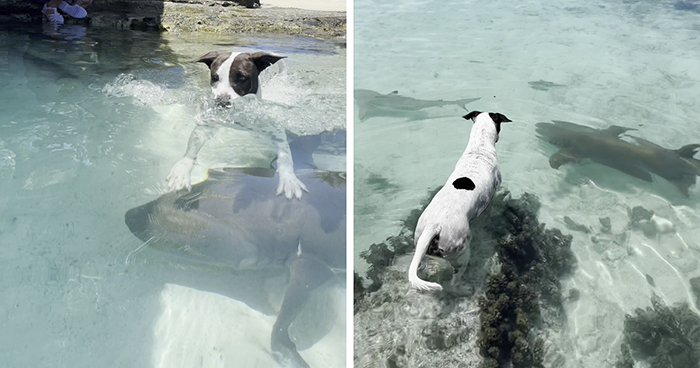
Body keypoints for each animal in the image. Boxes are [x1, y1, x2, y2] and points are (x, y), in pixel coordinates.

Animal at [167, 50, 308, 200]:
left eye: (242, 78)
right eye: (215, 77)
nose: (221, 102)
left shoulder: (276, 130)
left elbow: (285, 155)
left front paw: (289, 178)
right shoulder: (207, 125)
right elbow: (192, 147)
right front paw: (182, 169)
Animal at [408, 110, 512, 292]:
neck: (479, 149)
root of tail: (434, 226)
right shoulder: (497, 187)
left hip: (422, 246)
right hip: (462, 251)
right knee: (454, 280)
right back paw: (462, 289)